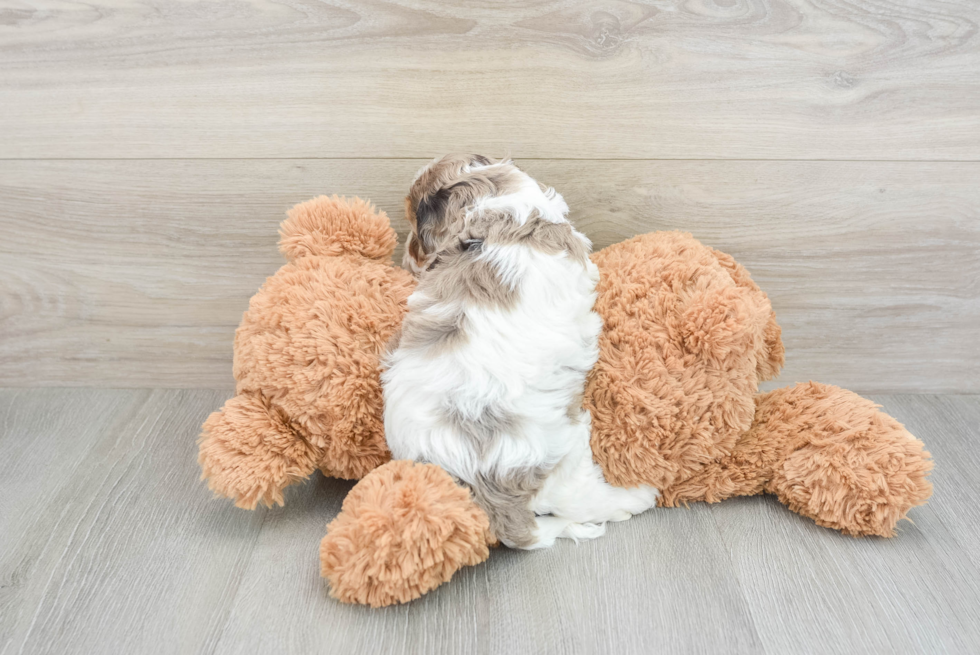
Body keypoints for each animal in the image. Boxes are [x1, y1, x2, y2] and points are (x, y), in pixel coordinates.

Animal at [382, 155, 660, 548]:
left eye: (414, 225)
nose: (408, 256)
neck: (491, 200)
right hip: (565, 448)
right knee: (576, 499)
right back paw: (637, 498)